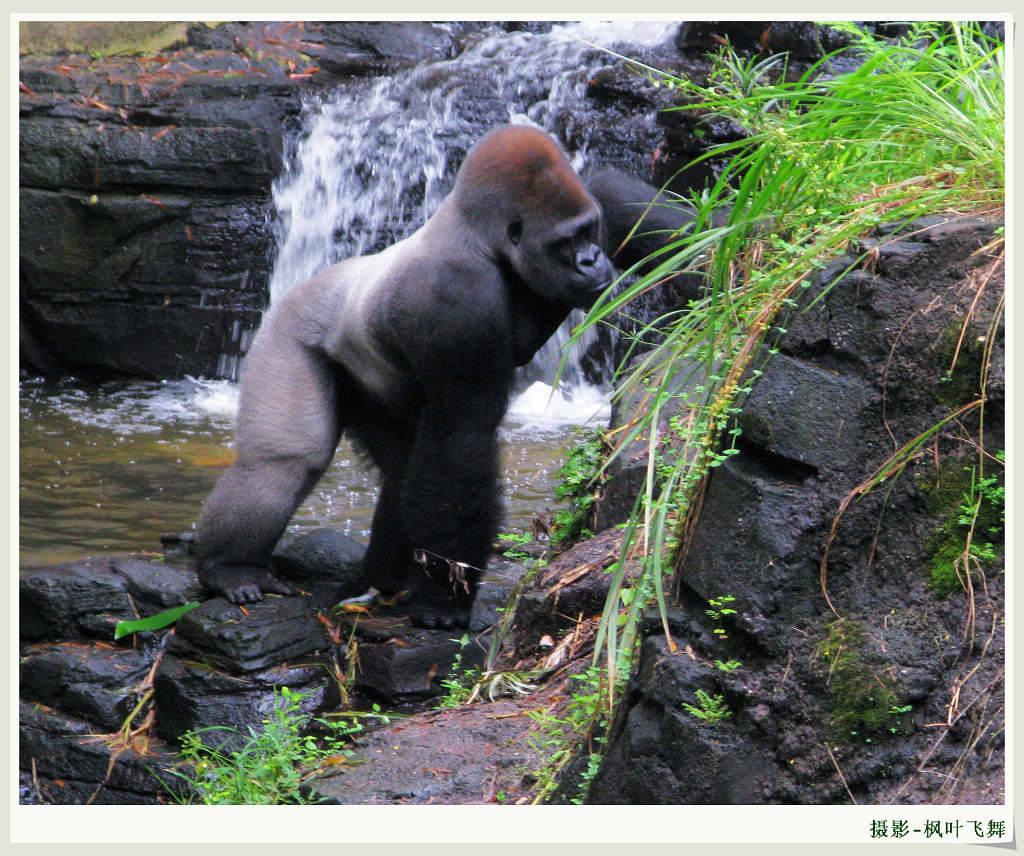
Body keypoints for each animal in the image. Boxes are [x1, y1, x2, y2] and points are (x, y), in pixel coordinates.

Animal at [193, 121, 696, 626]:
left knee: (400, 467)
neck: (482, 241)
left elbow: (662, 224)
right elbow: (460, 444)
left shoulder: (597, 202)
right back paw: (231, 567)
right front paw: (444, 600)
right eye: (563, 243)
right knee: (286, 461)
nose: (592, 259)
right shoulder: (459, 304)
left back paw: (382, 575)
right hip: (288, 331)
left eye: (588, 231)